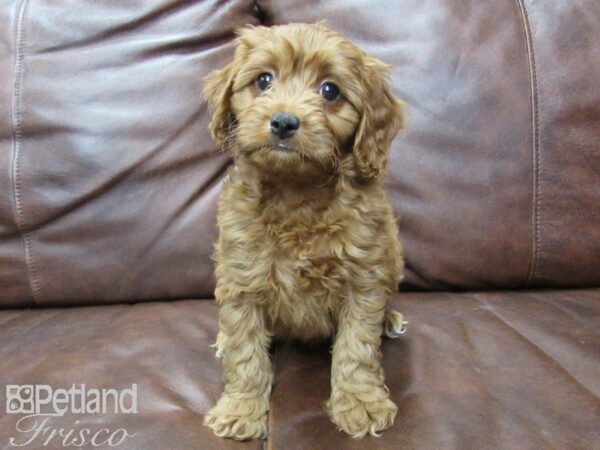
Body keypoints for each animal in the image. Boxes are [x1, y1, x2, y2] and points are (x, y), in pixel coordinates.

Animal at [204, 22, 406, 440]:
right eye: (264, 80)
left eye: (330, 90)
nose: (284, 121)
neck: (295, 192)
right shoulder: (241, 278)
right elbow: (246, 353)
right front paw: (241, 408)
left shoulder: (365, 275)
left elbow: (357, 347)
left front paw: (360, 403)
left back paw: (389, 318)